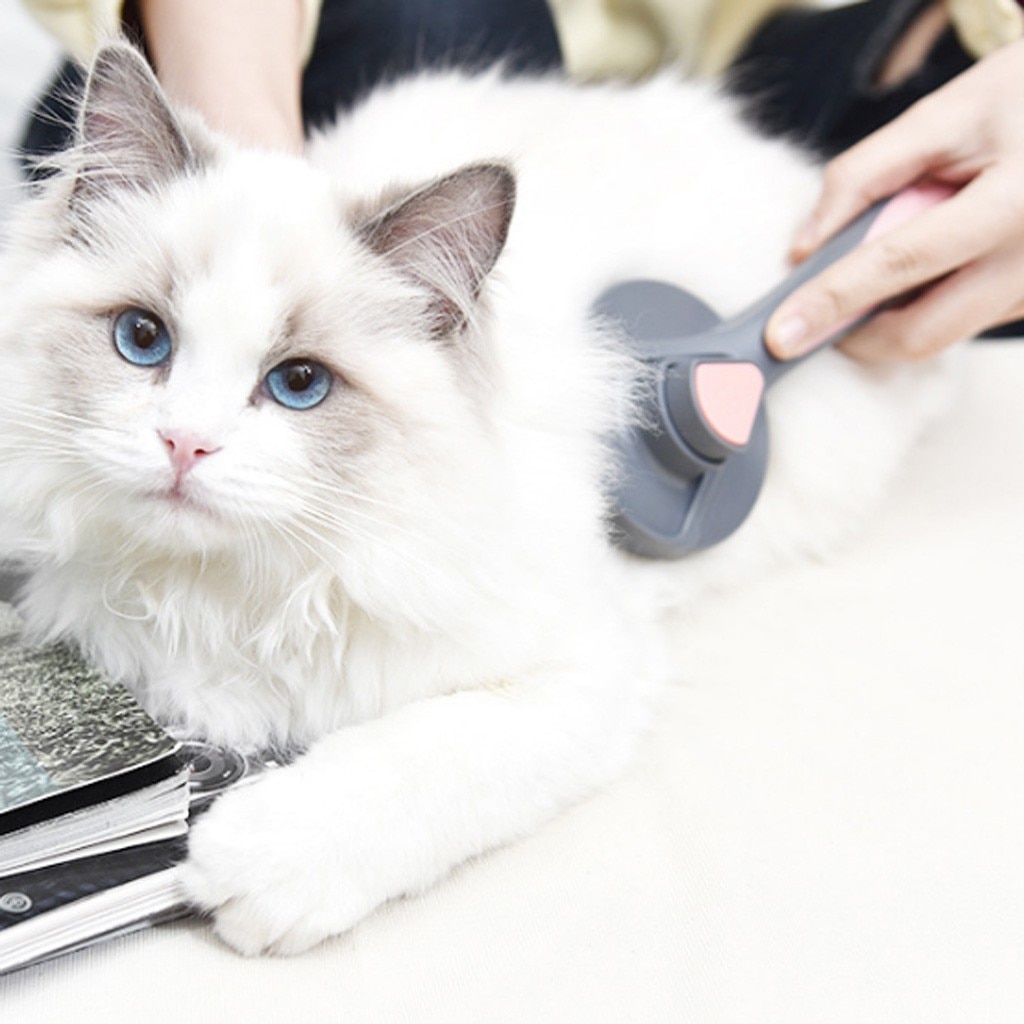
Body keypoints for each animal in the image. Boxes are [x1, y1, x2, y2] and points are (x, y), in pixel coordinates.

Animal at [0, 39, 954, 950]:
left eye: (300, 384)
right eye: (143, 339)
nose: (184, 445)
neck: (226, 593)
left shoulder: (581, 674)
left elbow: (408, 758)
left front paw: (246, 864)